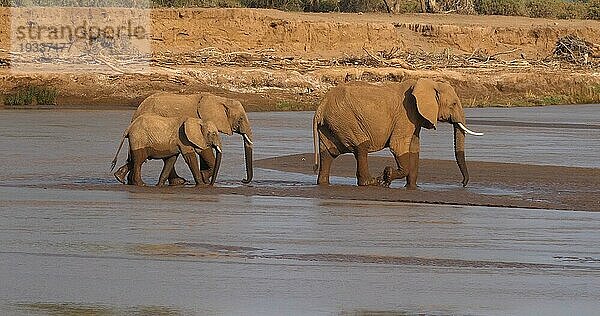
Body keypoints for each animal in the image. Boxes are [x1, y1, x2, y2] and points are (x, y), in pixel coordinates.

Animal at [113, 91, 252, 185]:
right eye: (240, 119)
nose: (243, 180)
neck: (220, 99)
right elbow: (203, 150)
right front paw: (204, 177)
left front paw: (205, 179)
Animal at [314, 78, 482, 189]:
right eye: (453, 104)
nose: (463, 184)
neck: (428, 83)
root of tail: (321, 106)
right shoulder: (405, 114)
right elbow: (398, 147)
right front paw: (386, 176)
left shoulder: (415, 117)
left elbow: (414, 148)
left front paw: (412, 187)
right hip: (346, 120)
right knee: (361, 147)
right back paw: (371, 182)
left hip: (331, 124)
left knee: (328, 153)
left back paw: (323, 183)